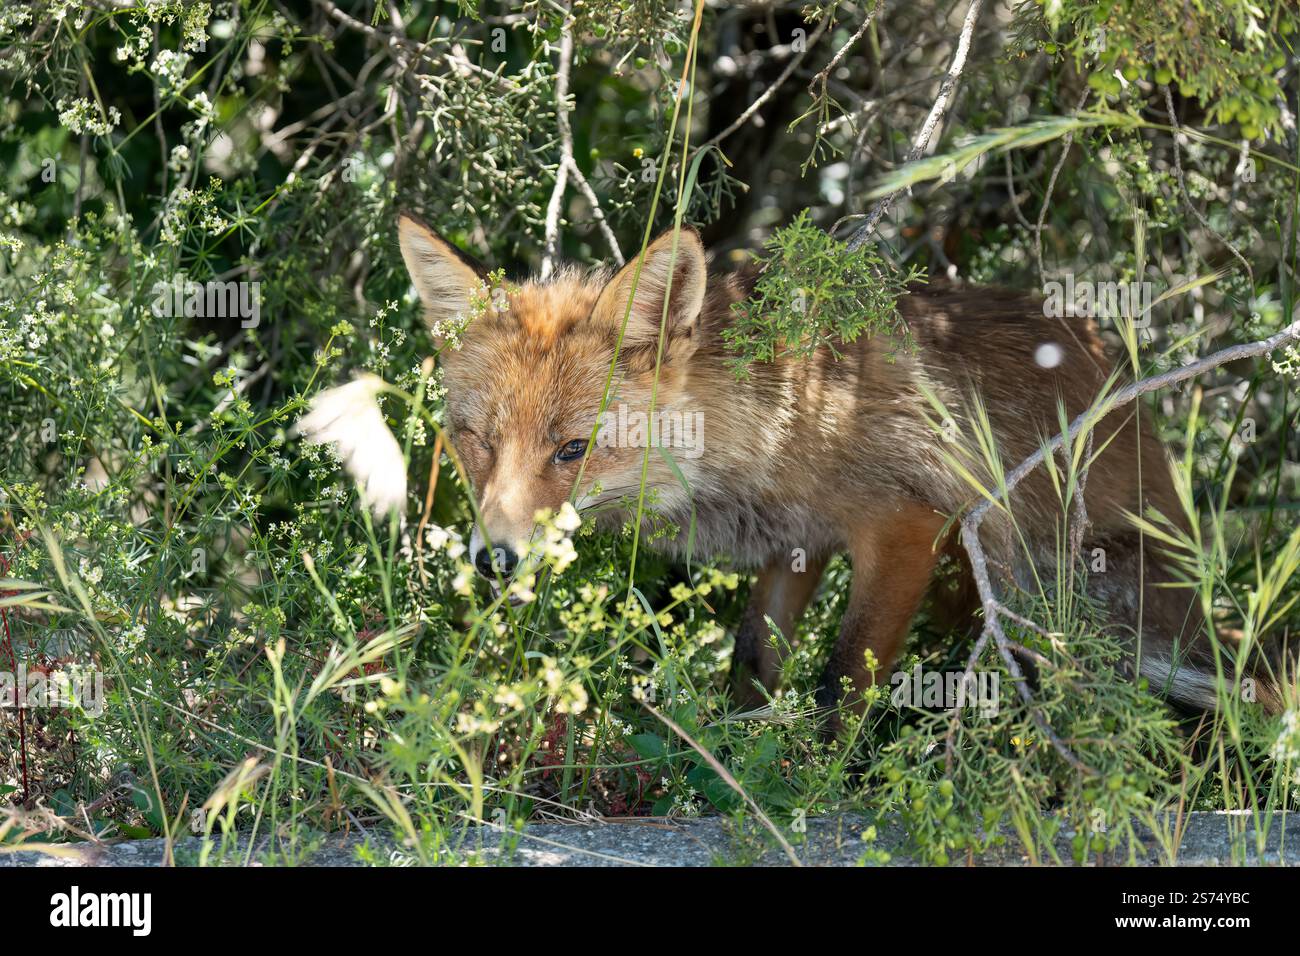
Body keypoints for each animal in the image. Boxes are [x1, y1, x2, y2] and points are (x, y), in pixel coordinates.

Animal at [301, 211, 1285, 720]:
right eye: (476, 441)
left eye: (572, 449)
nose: (494, 559)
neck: (779, 424)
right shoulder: (793, 548)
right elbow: (753, 667)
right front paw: (734, 759)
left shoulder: (910, 525)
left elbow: (842, 680)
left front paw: (813, 782)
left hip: (1084, 602)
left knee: (1256, 691)